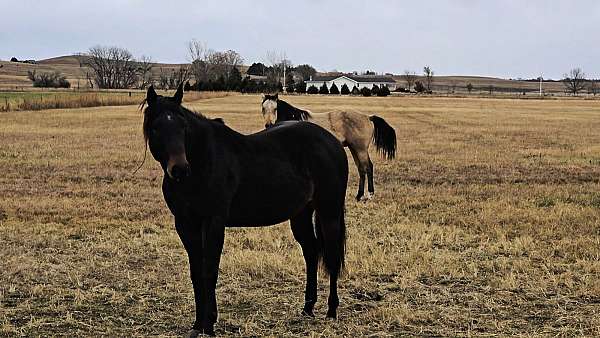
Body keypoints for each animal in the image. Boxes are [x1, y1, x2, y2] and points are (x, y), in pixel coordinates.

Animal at [142, 84, 346, 336]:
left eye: (183, 126)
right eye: (156, 128)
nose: (179, 169)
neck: (202, 163)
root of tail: (333, 142)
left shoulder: (214, 222)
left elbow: (209, 270)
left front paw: (209, 325)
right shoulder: (185, 224)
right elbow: (196, 272)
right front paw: (198, 324)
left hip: (330, 212)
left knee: (332, 255)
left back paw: (331, 310)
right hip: (301, 214)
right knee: (311, 251)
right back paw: (307, 308)